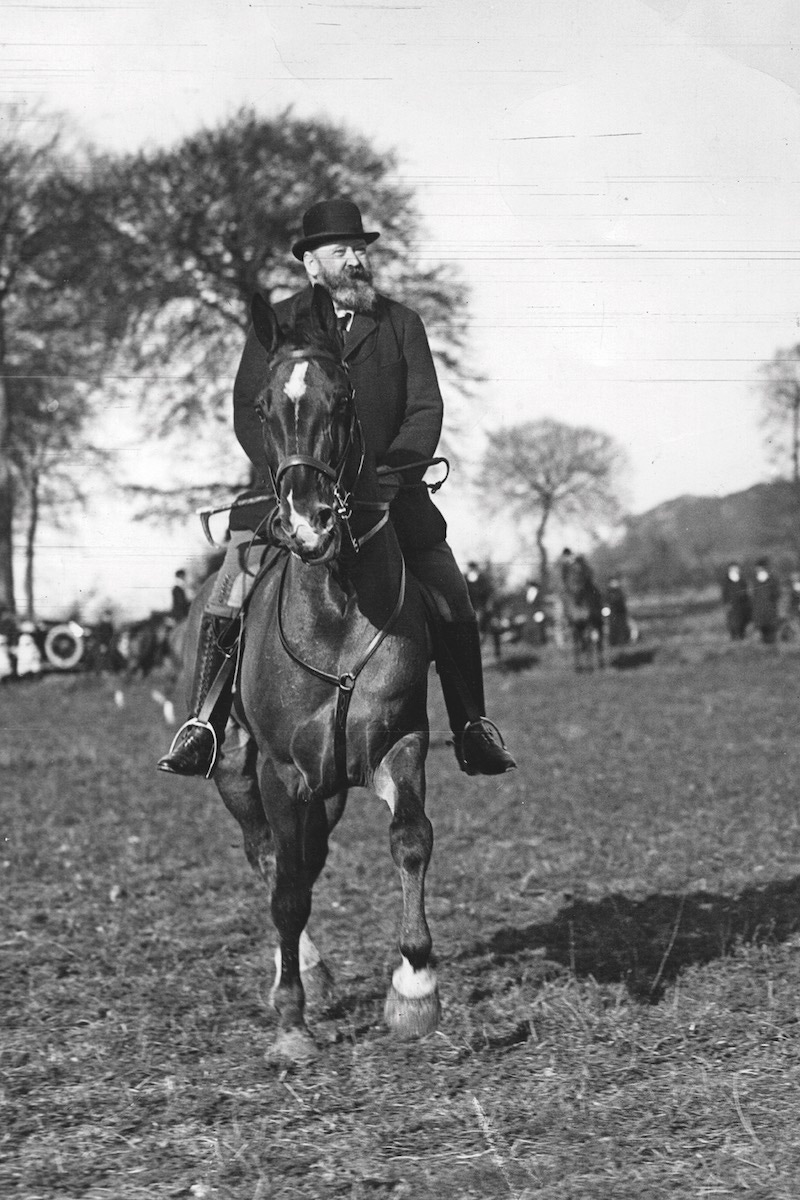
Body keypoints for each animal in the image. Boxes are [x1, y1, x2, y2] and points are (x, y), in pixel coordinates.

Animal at [181, 285, 438, 1065]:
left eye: (344, 399)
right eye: (265, 406)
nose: (307, 521)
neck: (337, 603)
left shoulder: (398, 742)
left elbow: (411, 839)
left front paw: (415, 989)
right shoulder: (280, 771)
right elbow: (287, 892)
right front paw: (291, 1023)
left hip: (326, 791)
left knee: (305, 857)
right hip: (238, 773)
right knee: (271, 860)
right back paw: (302, 974)